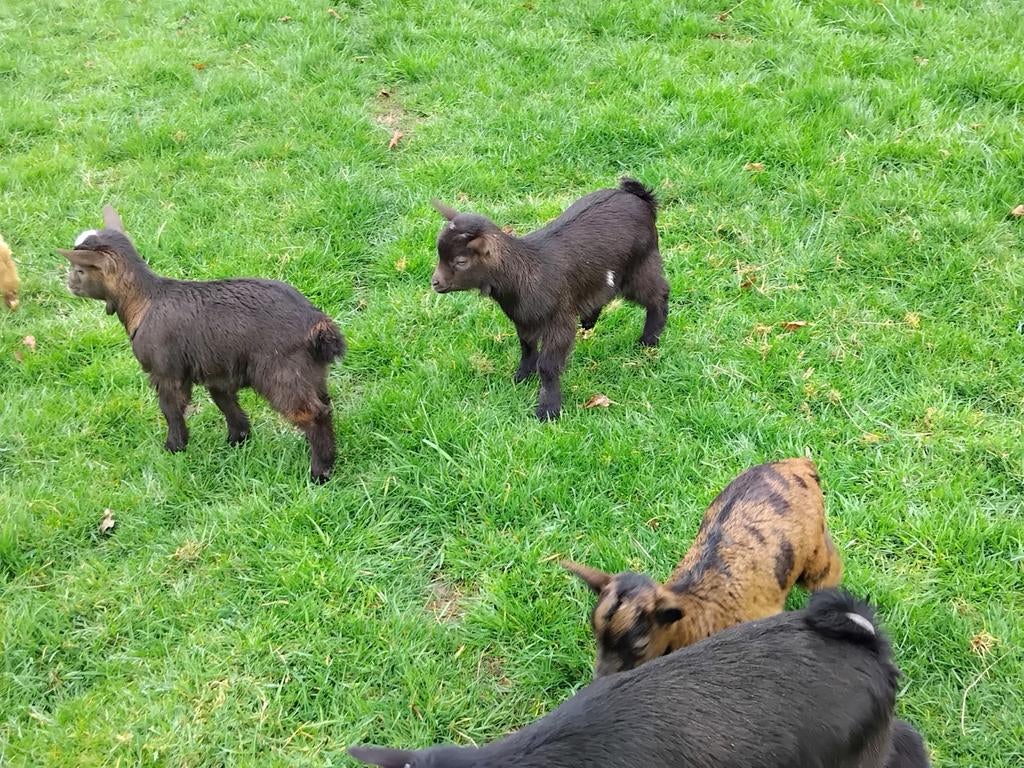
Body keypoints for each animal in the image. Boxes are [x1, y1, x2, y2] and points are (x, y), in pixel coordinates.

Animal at [58, 205, 346, 482]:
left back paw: (319, 473)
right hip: (310, 372)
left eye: (80, 270)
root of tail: (316, 323)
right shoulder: (217, 370)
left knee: (314, 414)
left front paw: (174, 447)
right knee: (326, 406)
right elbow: (224, 401)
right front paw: (238, 439)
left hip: (282, 374)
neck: (145, 301)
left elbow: (171, 409)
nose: (69, 284)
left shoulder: (167, 372)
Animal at [430, 179, 669, 421]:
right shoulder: (524, 320)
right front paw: (521, 377)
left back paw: (649, 340)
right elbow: (527, 348)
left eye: (461, 261)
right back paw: (589, 321)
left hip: (640, 265)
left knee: (659, 295)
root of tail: (640, 197)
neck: (524, 272)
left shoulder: (558, 322)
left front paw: (548, 409)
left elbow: (547, 365)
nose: (435, 282)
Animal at [562, 457, 843, 677]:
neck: (693, 613)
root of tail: (798, 464)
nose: (601, 682)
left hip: (815, 552)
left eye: (640, 645)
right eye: (596, 636)